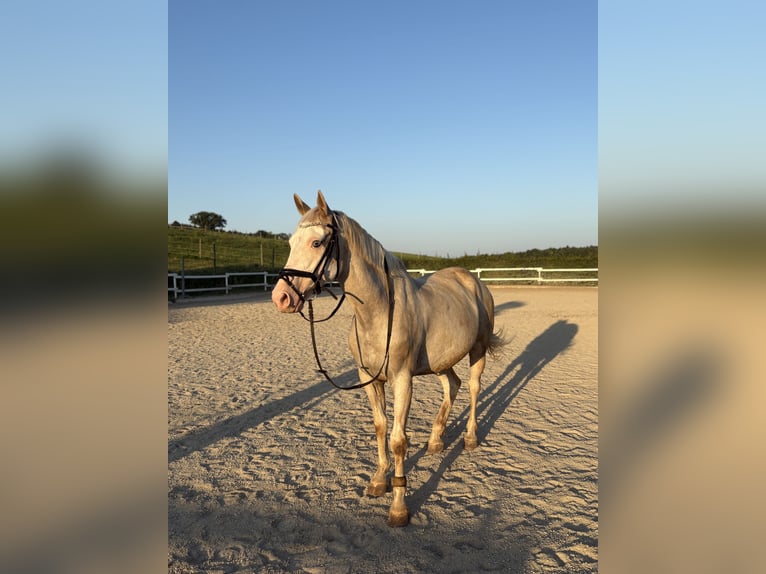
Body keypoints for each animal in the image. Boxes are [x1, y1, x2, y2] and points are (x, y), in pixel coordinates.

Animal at [271, 191, 504, 527]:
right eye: (290, 243)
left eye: (316, 242)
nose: (281, 297)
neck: (378, 312)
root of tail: (473, 281)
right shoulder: (368, 379)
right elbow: (380, 427)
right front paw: (379, 481)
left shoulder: (403, 381)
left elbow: (398, 440)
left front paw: (398, 507)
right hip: (441, 362)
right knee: (452, 386)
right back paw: (436, 440)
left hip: (478, 351)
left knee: (473, 388)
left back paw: (470, 438)